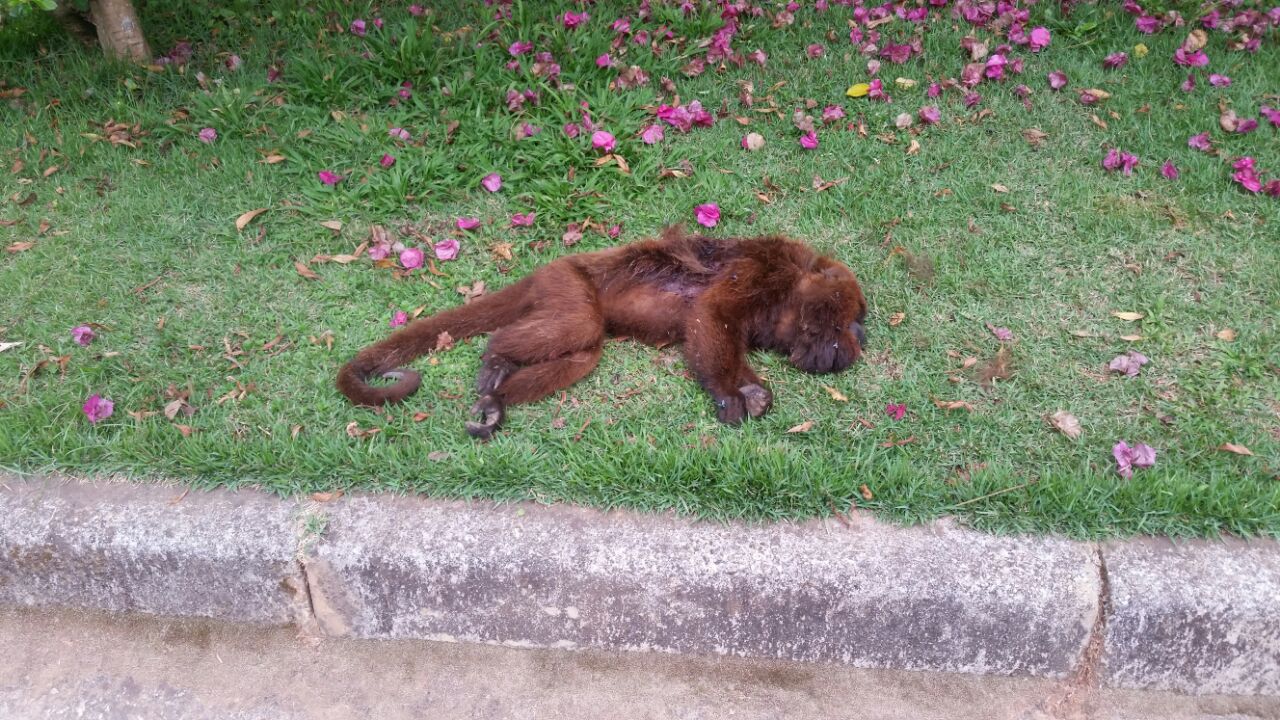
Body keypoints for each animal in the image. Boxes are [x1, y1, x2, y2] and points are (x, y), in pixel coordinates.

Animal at [335, 224, 865, 438]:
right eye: (851, 319)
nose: (861, 336)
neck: (792, 287)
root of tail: (548, 269)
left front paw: (750, 391)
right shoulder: (763, 268)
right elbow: (711, 314)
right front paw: (733, 395)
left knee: (585, 351)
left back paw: (498, 397)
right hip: (567, 284)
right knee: (580, 326)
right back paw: (497, 355)